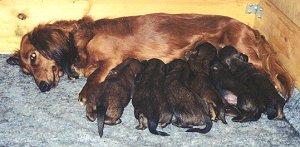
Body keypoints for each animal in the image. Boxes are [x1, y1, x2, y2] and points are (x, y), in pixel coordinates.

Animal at [6, 12, 292, 101]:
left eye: (33, 57)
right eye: (26, 71)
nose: (42, 87)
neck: (81, 41)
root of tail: (250, 28)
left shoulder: (111, 59)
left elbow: (94, 77)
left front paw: (86, 92)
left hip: (244, 51)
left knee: (269, 72)